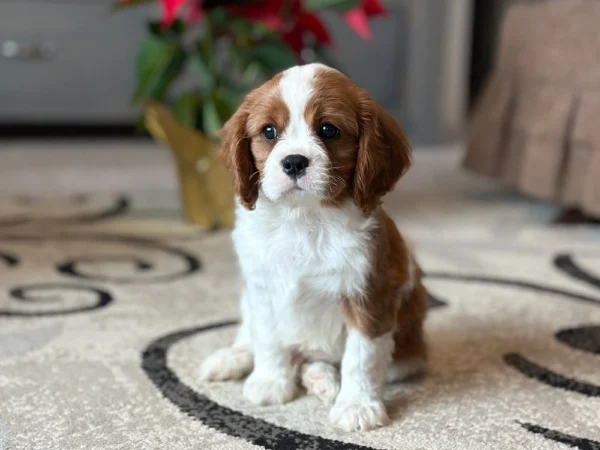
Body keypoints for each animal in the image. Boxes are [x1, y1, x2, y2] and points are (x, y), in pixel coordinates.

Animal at [202, 63, 426, 432]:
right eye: (269, 132)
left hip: (407, 356)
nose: (294, 161)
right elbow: (267, 338)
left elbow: (361, 357)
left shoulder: (370, 294)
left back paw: (321, 378)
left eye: (328, 129)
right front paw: (270, 382)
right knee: (253, 336)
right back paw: (232, 358)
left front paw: (357, 405)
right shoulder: (261, 288)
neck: (304, 219)